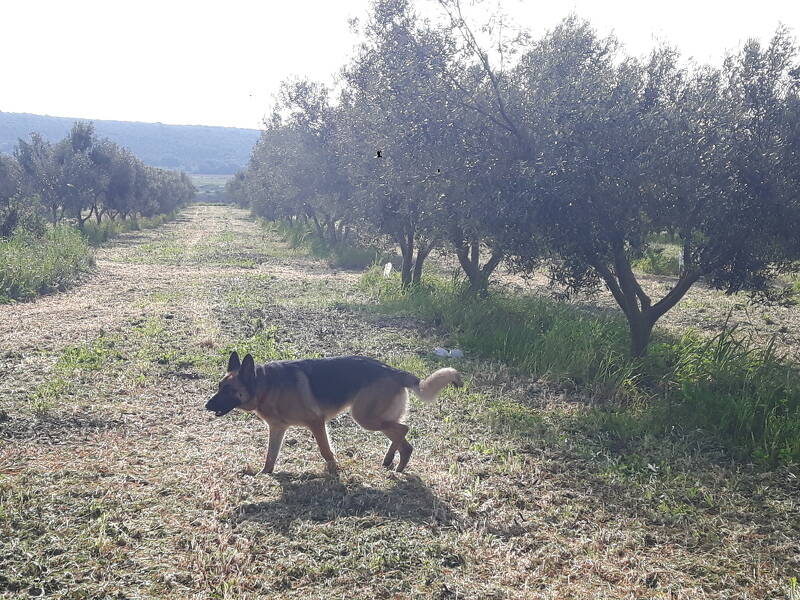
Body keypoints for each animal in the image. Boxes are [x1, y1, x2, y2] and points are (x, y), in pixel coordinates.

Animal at [205, 352, 462, 474]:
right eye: (219, 386)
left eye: (229, 390)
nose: (206, 406)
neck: (265, 385)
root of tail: (395, 371)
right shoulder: (277, 429)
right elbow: (271, 456)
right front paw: (264, 474)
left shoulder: (316, 422)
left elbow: (325, 451)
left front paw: (334, 471)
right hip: (375, 418)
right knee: (404, 441)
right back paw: (395, 465)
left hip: (366, 418)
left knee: (403, 429)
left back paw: (392, 461)